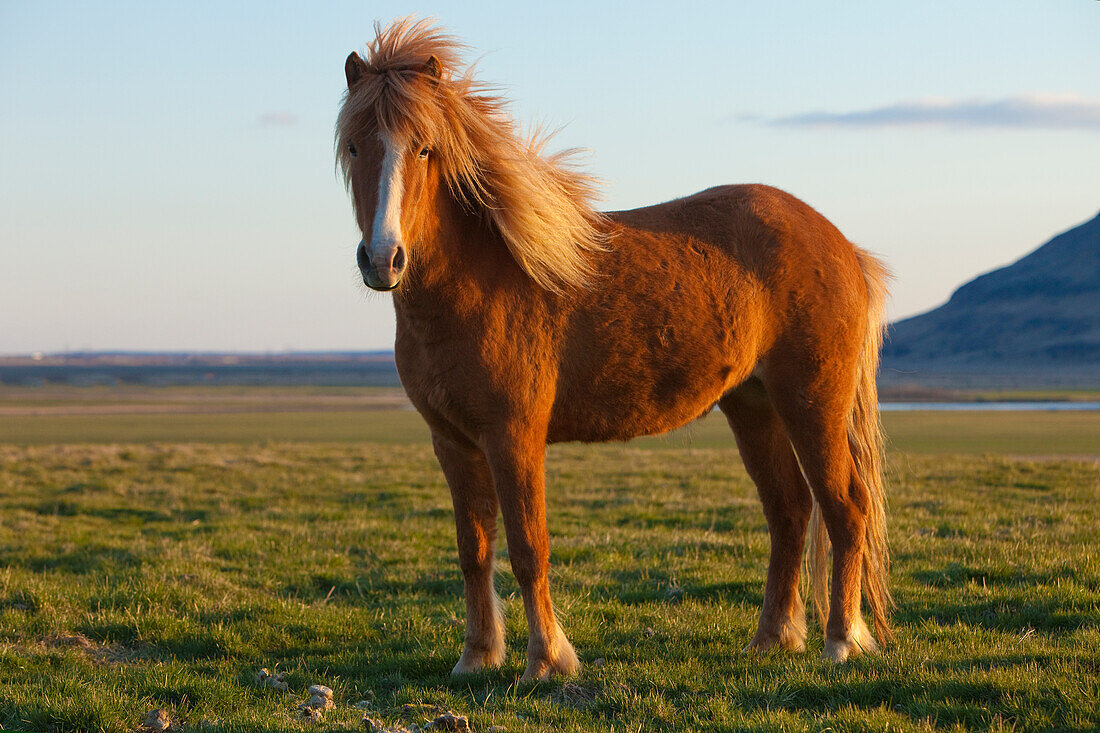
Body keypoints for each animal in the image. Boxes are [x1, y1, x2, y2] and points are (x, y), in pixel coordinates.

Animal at [334, 17, 893, 677]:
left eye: (424, 148)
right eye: (353, 147)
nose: (383, 259)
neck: (475, 282)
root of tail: (841, 244)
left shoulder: (513, 436)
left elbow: (528, 548)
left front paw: (547, 660)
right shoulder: (451, 442)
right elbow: (474, 550)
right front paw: (477, 656)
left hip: (813, 404)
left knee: (845, 509)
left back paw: (840, 641)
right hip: (753, 405)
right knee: (790, 511)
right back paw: (773, 636)